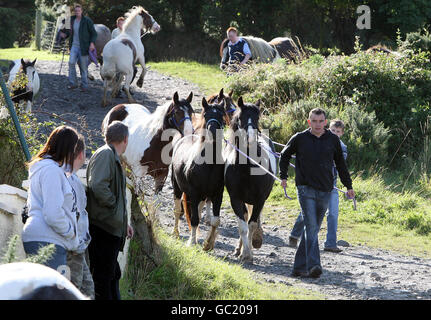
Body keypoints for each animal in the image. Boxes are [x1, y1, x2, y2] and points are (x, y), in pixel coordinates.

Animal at [171, 97, 228, 250]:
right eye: (206, 115)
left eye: (221, 115)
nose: (213, 131)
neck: (208, 165)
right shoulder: (194, 193)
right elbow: (195, 219)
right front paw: (192, 242)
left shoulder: (217, 194)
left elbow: (215, 220)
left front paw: (208, 243)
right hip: (177, 188)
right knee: (177, 210)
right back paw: (175, 233)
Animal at [224, 97, 278, 262]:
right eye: (240, 118)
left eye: (257, 117)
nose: (251, 138)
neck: (247, 169)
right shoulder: (235, 199)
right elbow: (243, 226)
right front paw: (245, 252)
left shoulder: (260, 199)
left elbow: (252, 225)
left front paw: (249, 254)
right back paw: (239, 248)